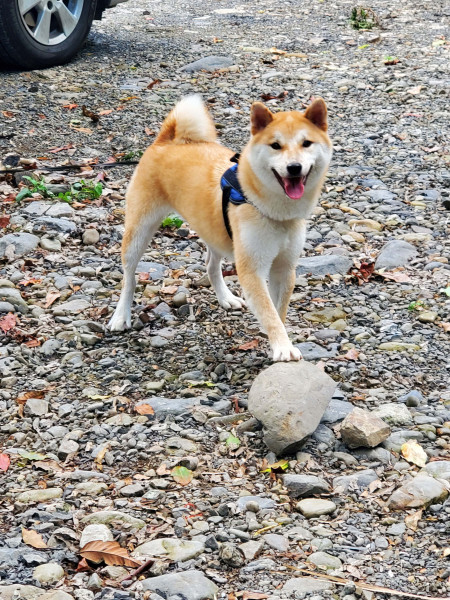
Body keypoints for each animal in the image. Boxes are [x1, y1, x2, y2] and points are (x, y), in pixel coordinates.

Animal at [108, 95, 334, 358]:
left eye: (306, 143)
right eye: (275, 145)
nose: (294, 167)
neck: (270, 209)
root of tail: (167, 141)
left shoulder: (284, 268)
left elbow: (278, 312)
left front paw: (277, 341)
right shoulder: (252, 270)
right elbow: (270, 314)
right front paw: (283, 347)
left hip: (214, 232)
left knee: (211, 266)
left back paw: (226, 297)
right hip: (139, 232)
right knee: (129, 278)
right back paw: (120, 316)